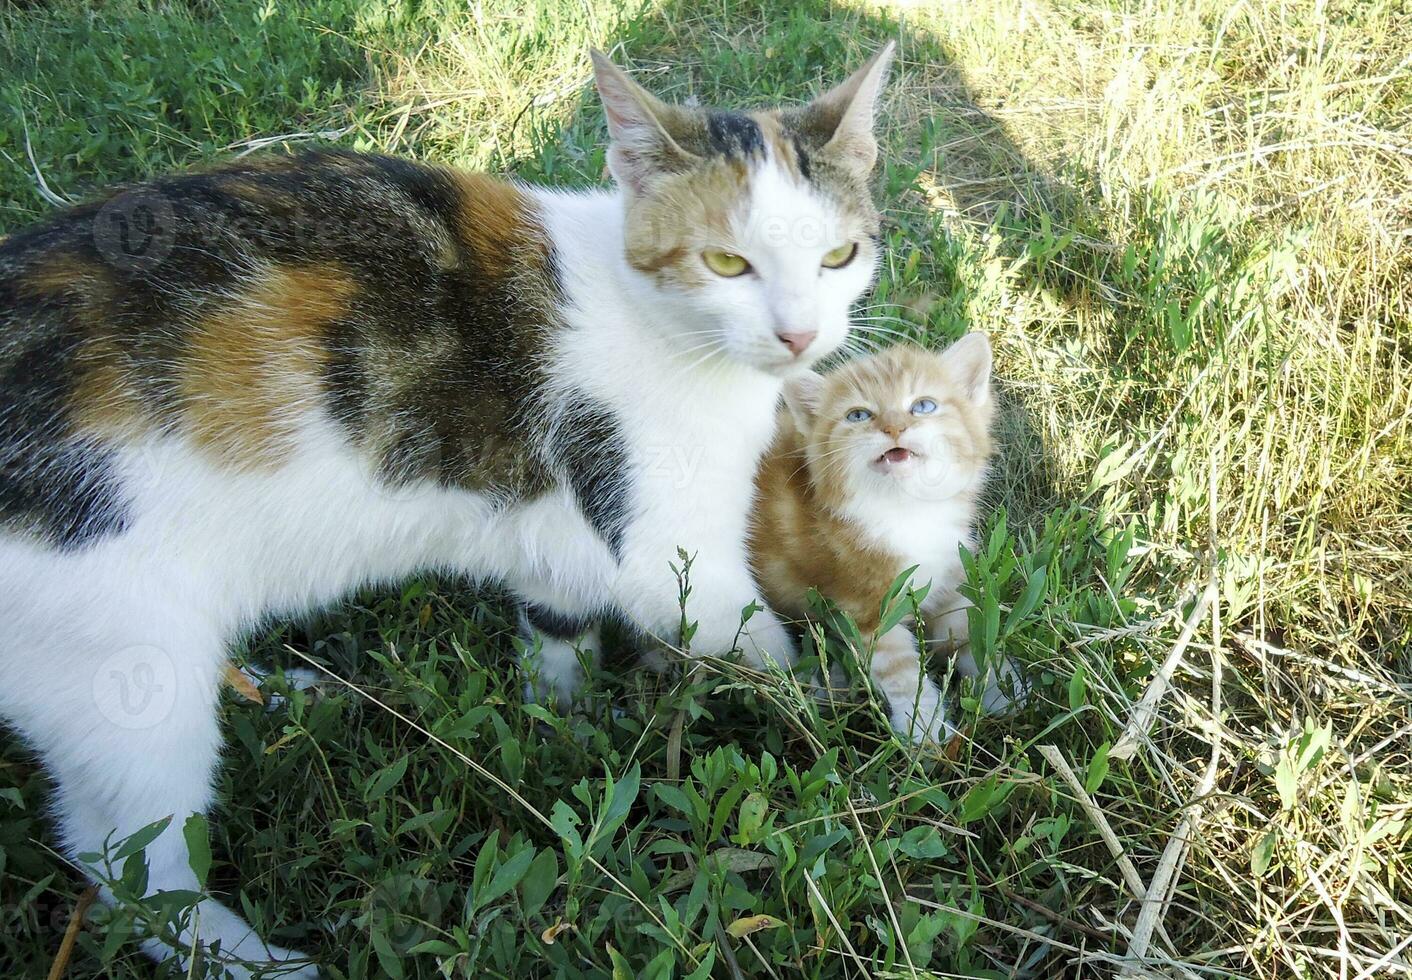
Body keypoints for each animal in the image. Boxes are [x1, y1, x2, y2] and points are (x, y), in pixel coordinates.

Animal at [0, 44, 892, 977]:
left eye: (838, 256)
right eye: (726, 265)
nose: (801, 336)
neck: (653, 317)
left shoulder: (555, 528)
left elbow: (556, 623)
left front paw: (562, 719)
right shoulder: (668, 552)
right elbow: (765, 652)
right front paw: (844, 734)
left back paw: (284, 694)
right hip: (119, 662)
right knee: (123, 865)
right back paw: (243, 954)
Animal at [751, 337, 1027, 745]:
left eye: (923, 406)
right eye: (858, 415)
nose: (894, 427)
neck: (907, 511)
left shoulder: (950, 583)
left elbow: (972, 633)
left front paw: (1007, 690)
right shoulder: (869, 610)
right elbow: (902, 673)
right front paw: (926, 730)